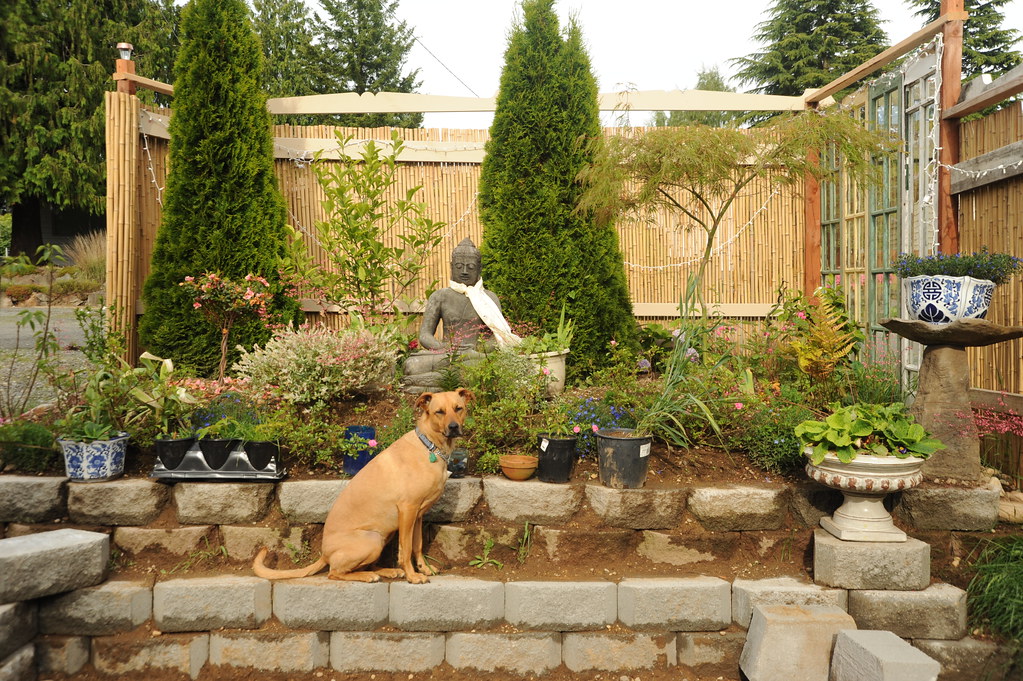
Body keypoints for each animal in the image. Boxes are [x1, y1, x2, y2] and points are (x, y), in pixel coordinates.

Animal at [251, 386, 470, 584]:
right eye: (439, 411)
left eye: (458, 408)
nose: (453, 427)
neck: (430, 446)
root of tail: (324, 554)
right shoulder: (407, 510)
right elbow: (406, 548)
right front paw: (413, 576)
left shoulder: (417, 515)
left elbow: (417, 545)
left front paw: (425, 569)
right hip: (371, 540)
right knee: (335, 572)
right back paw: (369, 576)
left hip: (384, 535)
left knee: (366, 565)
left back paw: (388, 571)